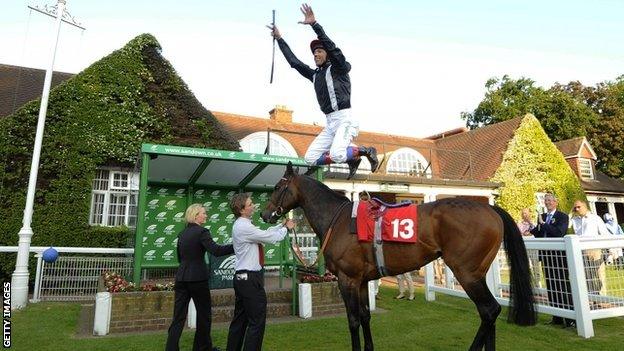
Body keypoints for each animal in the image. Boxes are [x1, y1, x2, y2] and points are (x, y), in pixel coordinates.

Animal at [262, 164, 536, 350]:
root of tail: (491, 209)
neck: (338, 220)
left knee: (489, 310)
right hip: (478, 273)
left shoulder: (347, 279)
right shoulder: (362, 280)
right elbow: (365, 316)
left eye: (276, 187)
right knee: (489, 313)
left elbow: (353, 320)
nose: (265, 215)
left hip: (466, 273)